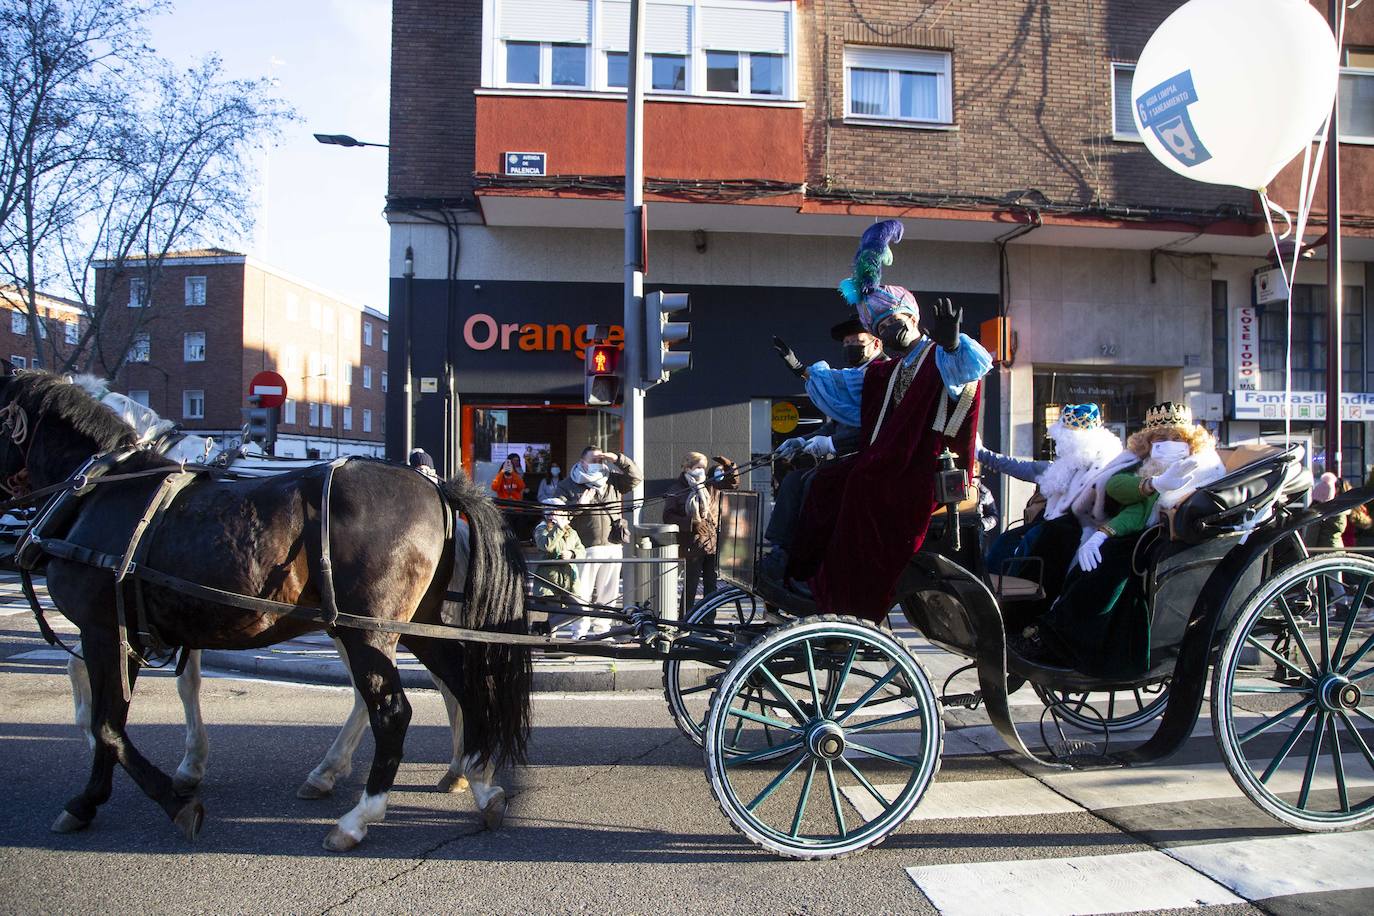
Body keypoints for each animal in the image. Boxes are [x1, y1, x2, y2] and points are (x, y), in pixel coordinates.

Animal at [0, 368, 530, 856]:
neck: (106, 487)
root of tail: (436, 487)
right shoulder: (134, 632)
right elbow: (117, 709)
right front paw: (118, 786)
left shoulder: (105, 629)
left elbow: (109, 720)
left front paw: (164, 794)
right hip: (406, 624)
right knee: (459, 687)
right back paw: (475, 780)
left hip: (367, 630)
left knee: (392, 709)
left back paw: (360, 814)